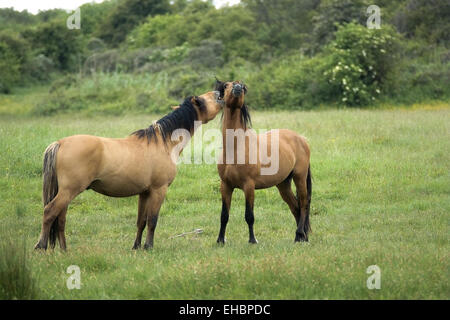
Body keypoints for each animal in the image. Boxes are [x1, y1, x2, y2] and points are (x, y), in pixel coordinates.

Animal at [34, 90, 224, 250]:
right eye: (203, 99)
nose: (219, 93)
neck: (163, 143)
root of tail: (59, 143)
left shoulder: (144, 193)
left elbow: (141, 221)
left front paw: (136, 247)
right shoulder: (158, 190)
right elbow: (152, 220)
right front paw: (148, 247)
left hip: (66, 192)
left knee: (60, 219)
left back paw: (64, 250)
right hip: (69, 190)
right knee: (50, 212)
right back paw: (41, 246)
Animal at [215, 80, 312, 242]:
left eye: (243, 87)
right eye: (226, 85)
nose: (237, 87)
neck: (236, 147)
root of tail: (301, 138)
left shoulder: (249, 186)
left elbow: (249, 215)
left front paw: (252, 240)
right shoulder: (226, 186)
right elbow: (224, 215)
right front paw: (220, 241)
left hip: (300, 177)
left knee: (304, 203)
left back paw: (300, 234)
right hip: (283, 184)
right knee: (295, 207)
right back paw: (301, 237)